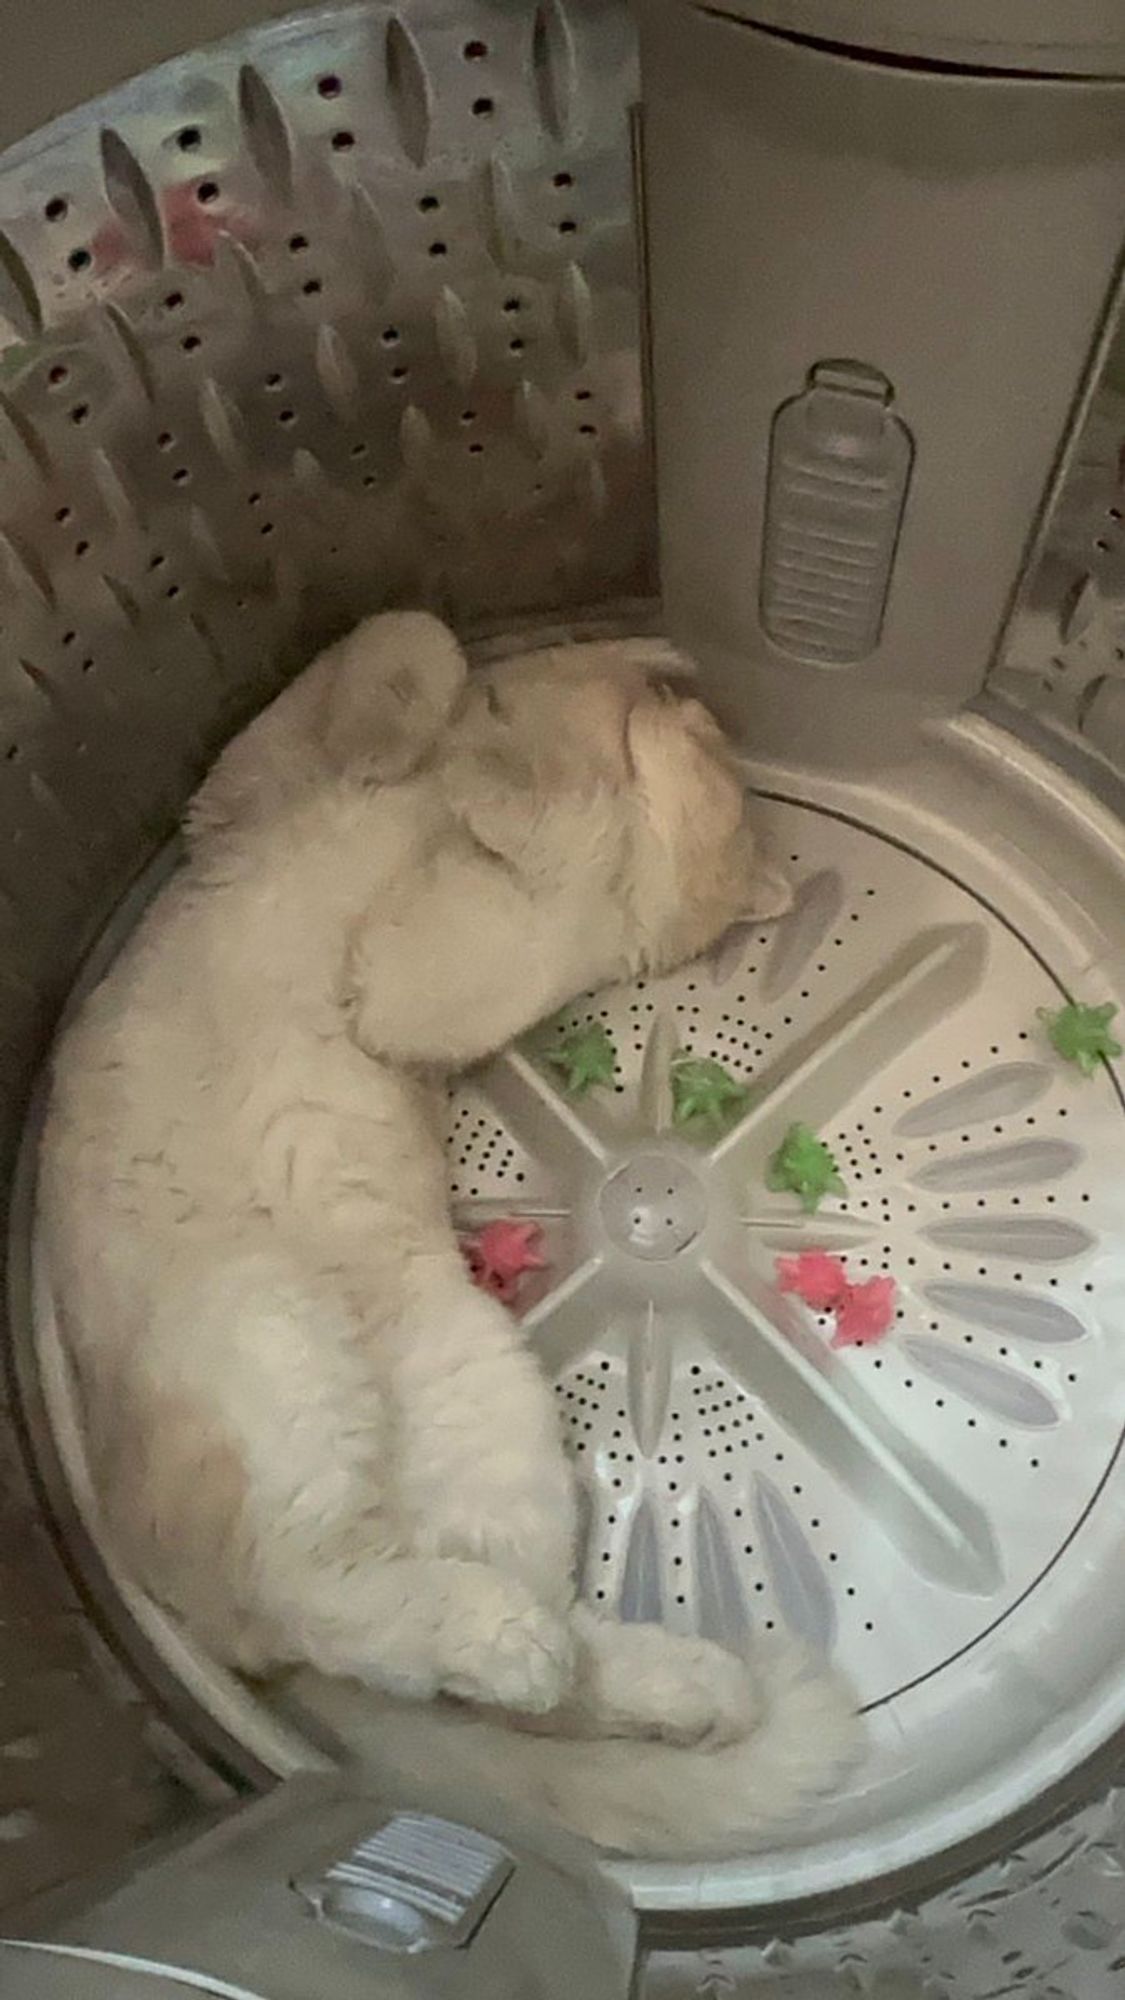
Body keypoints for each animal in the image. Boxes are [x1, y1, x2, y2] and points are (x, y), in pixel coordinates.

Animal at [39, 612, 852, 1856]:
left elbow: (480, 762)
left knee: (346, 1602)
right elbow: (407, 648)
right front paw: (465, 722)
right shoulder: (248, 791)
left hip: (303, 1356)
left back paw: (594, 1662)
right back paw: (664, 1678)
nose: (684, 710)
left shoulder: (443, 979)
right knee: (509, 1664)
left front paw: (484, 763)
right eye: (716, 765)